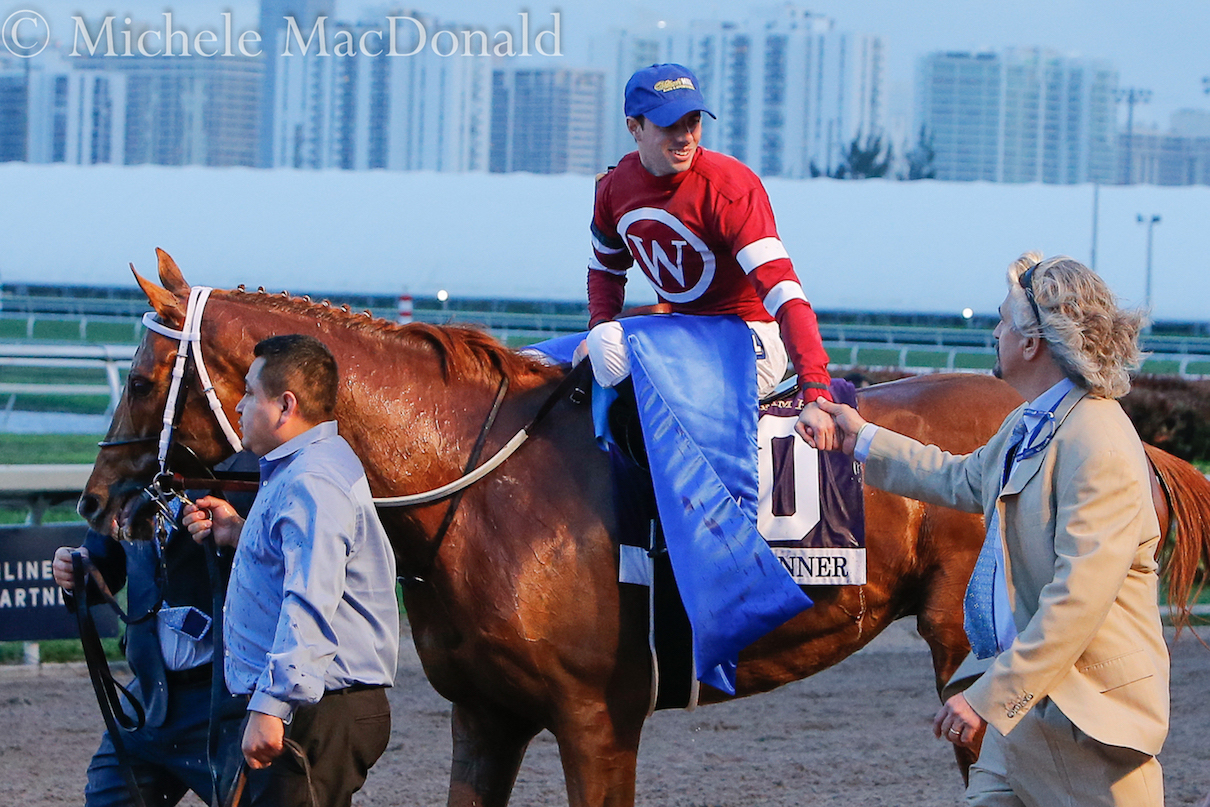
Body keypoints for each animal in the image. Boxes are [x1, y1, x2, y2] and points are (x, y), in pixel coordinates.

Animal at [80, 249, 1205, 803]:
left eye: (139, 376)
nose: (95, 508)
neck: (480, 492)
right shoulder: (487, 717)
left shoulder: (596, 717)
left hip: (966, 648)